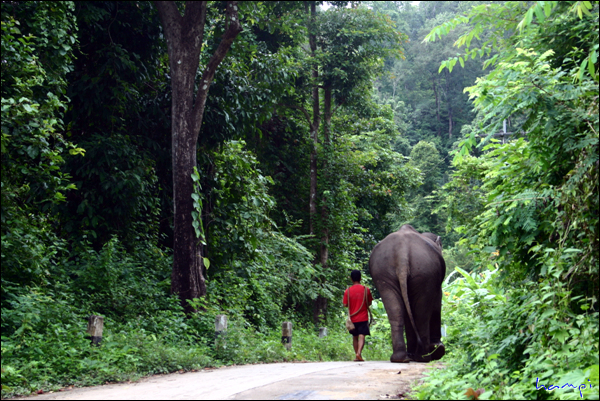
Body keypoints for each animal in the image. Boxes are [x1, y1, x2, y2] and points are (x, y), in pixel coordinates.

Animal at [368, 223, 448, 360]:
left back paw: (401, 358)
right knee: (422, 313)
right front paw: (438, 349)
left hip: (383, 272)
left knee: (395, 310)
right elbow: (437, 301)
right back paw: (423, 357)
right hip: (425, 272)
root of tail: (401, 252)